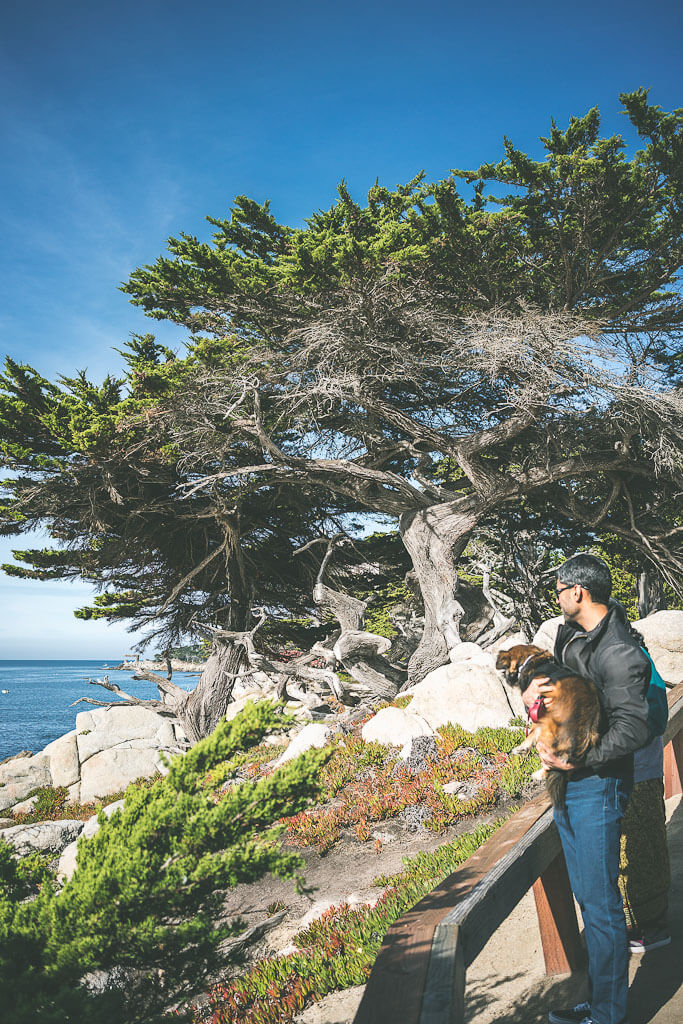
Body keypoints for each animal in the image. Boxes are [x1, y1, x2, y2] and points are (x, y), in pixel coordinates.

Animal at [493, 643, 602, 802]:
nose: (507, 678)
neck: (533, 660)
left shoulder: (538, 707)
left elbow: (531, 732)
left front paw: (521, 747)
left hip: (546, 734)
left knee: (549, 762)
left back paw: (538, 773)